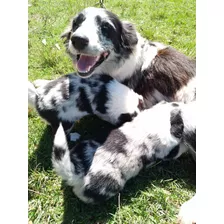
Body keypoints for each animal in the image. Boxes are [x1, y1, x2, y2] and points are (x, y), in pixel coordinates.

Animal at [51, 100, 195, 204]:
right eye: (179, 107)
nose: (183, 103)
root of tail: (76, 173)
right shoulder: (169, 150)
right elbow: (179, 148)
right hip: (111, 184)